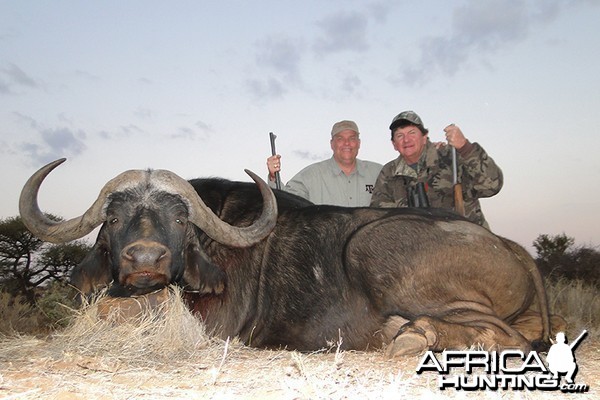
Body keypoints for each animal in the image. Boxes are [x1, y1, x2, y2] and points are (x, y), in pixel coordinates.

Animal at [18, 159, 564, 356]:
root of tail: (507, 245)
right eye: (114, 218)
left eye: (180, 219)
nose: (144, 259)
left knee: (505, 336)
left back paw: (412, 335)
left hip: (370, 249)